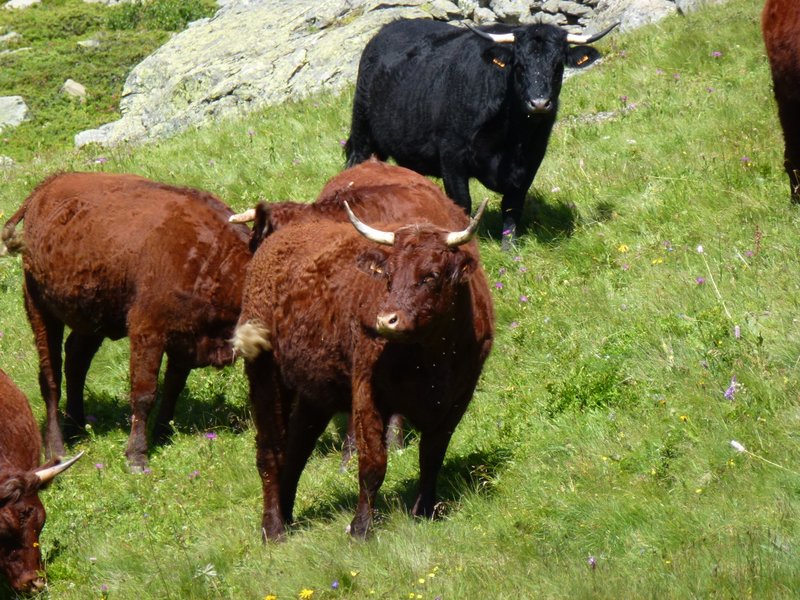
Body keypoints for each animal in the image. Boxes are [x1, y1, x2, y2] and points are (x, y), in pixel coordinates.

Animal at [0, 171, 250, 472]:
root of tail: (47, 186)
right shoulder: (147, 330)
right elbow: (144, 393)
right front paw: (137, 456)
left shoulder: (186, 338)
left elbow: (173, 387)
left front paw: (163, 433)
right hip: (40, 310)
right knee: (50, 377)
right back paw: (56, 446)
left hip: (91, 315)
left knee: (76, 360)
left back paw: (76, 426)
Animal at [346, 18, 620, 248]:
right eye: (518, 65)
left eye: (558, 65)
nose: (540, 103)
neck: (512, 138)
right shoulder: (452, 156)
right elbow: (462, 203)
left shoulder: (531, 159)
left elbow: (512, 206)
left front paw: (510, 248)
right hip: (362, 131)